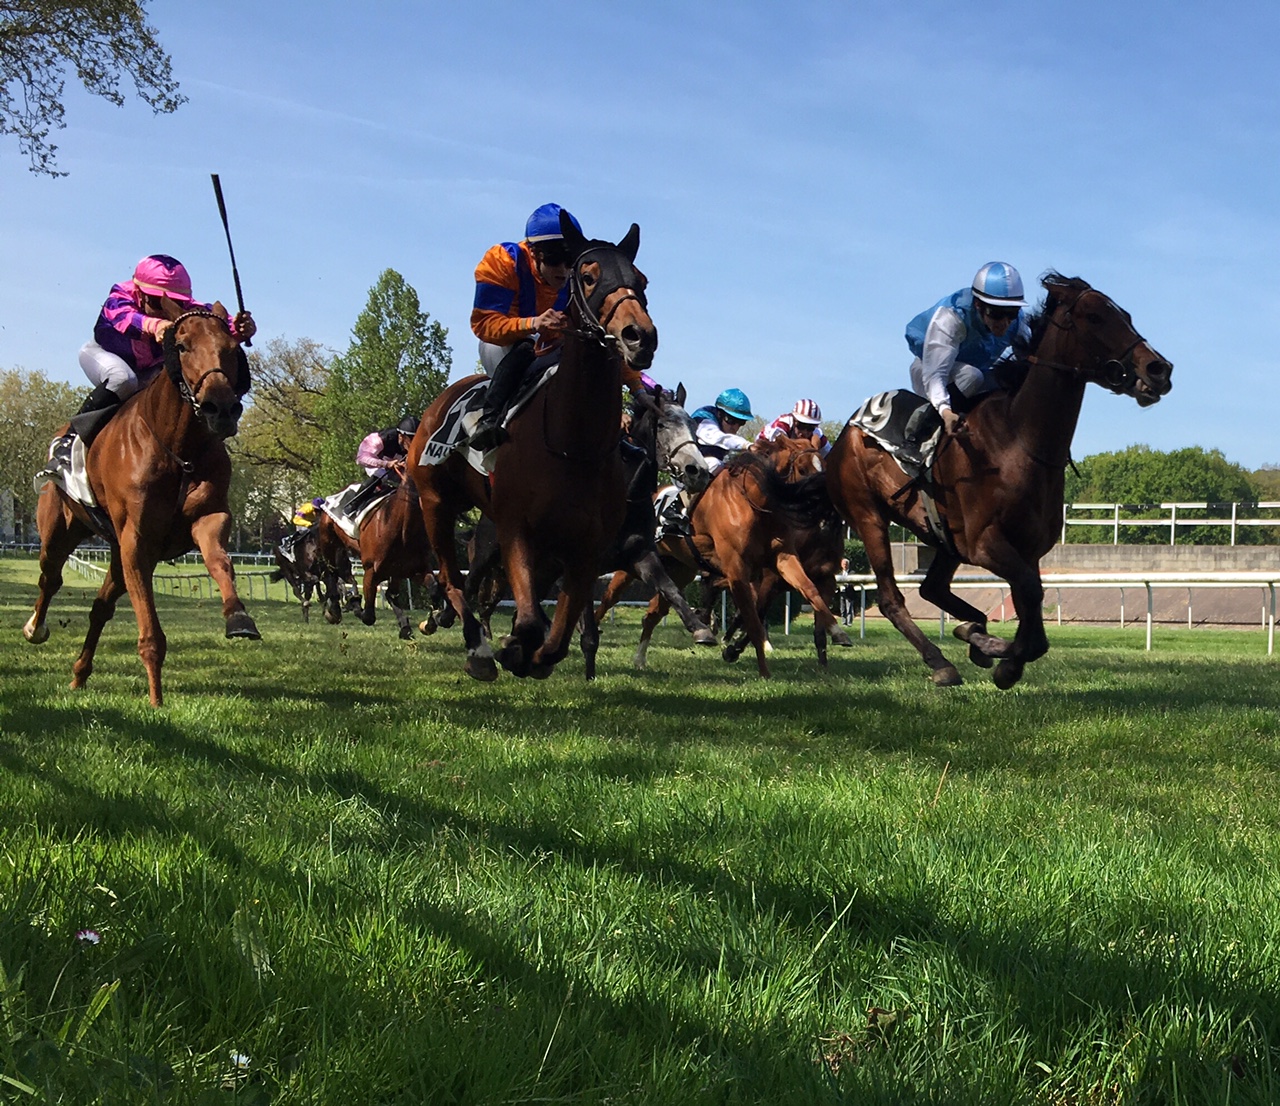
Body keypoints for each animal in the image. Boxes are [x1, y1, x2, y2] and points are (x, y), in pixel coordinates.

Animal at [24, 304, 257, 701]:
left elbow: (220, 562)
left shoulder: (208, 517)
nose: (221, 409)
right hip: (59, 530)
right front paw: (156, 701)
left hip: (116, 553)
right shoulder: (137, 540)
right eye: (182, 345)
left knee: (100, 607)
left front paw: (238, 617)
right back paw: (34, 629)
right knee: (50, 578)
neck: (178, 449)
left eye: (232, 347)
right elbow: (150, 632)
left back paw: (79, 674)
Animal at [407, 213, 655, 681]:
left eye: (642, 280)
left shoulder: (585, 547)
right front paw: (510, 649)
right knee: (451, 578)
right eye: (589, 276)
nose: (639, 336)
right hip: (435, 502)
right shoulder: (516, 529)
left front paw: (533, 658)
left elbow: (556, 638)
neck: (573, 445)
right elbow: (526, 622)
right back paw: (476, 647)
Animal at [824, 272, 1172, 686]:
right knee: (893, 598)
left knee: (932, 587)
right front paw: (1001, 658)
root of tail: (844, 434)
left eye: (1126, 315)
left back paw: (971, 631)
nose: (1159, 369)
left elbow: (1032, 613)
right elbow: (1031, 600)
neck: (1017, 442)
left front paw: (986, 643)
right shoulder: (985, 544)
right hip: (868, 517)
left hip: (946, 542)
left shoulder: (1028, 549)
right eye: (1094, 317)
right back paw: (940, 662)